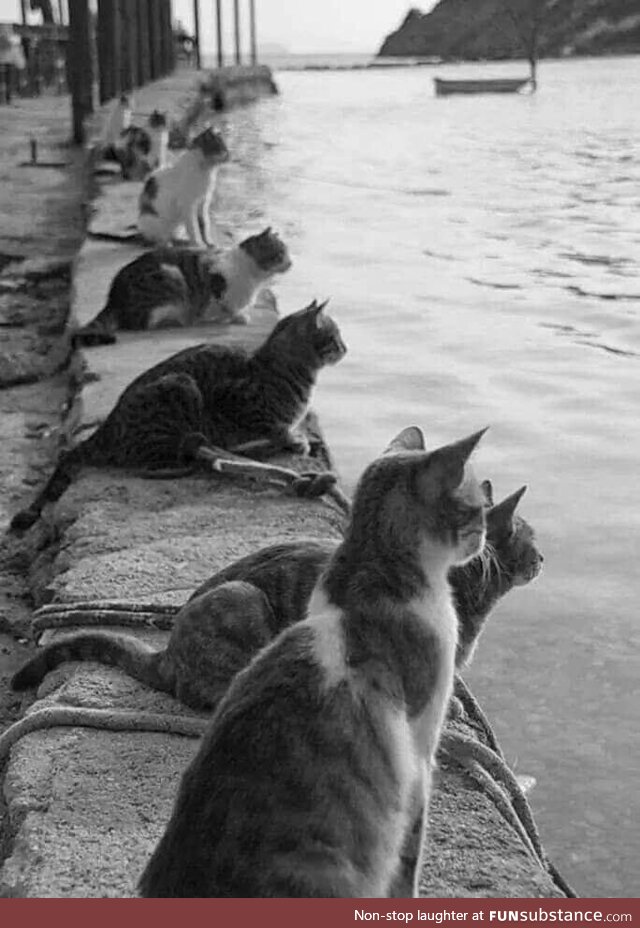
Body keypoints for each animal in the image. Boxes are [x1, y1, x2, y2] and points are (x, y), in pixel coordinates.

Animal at [10, 300, 348, 532]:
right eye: (336, 337)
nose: (346, 348)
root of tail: (106, 427)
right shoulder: (236, 402)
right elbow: (273, 428)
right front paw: (293, 439)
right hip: (180, 389)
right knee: (153, 459)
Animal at [75, 228, 292, 348]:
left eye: (286, 253)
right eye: (280, 254)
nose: (291, 263)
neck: (254, 277)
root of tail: (113, 297)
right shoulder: (218, 287)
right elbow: (227, 305)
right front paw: (237, 317)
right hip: (171, 279)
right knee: (141, 323)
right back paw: (179, 320)